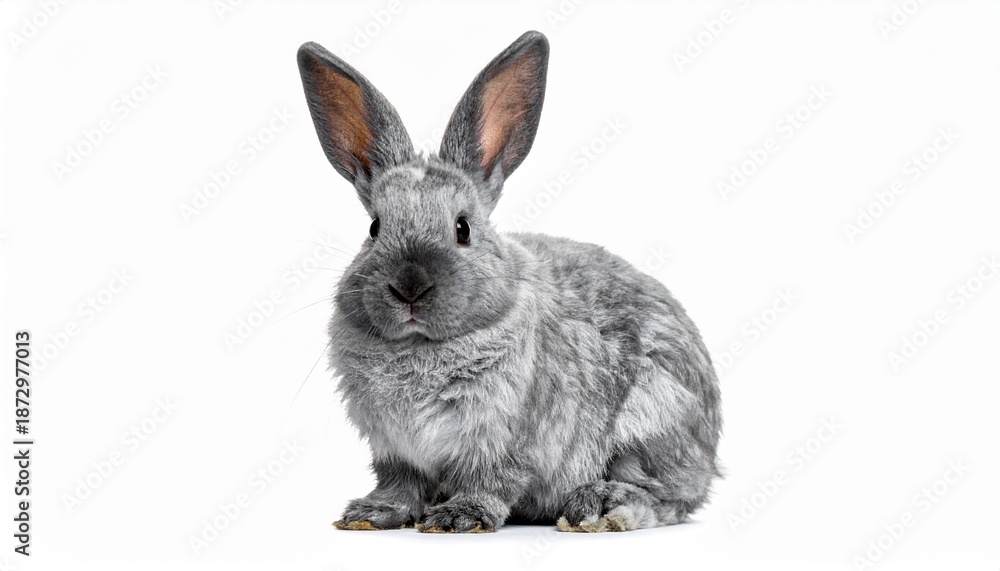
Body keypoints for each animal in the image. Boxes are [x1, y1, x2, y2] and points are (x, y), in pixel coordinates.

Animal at [297, 30, 722, 533]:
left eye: (463, 228)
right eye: (375, 228)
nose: (410, 287)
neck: (420, 347)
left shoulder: (507, 441)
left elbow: (491, 482)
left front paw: (458, 517)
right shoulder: (396, 450)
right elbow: (401, 485)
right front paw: (370, 514)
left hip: (648, 426)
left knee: (670, 496)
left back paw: (599, 507)